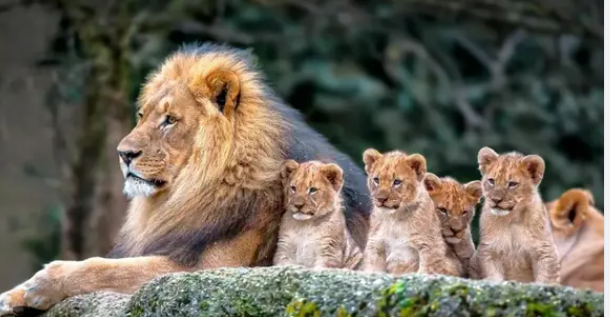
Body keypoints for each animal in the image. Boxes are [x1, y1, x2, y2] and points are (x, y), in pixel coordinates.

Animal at [0, 42, 370, 314]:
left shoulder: (211, 271)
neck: (191, 190)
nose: (123, 154)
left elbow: (105, 267)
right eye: (141, 115)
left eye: (169, 120)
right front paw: (11, 296)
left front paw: (43, 283)